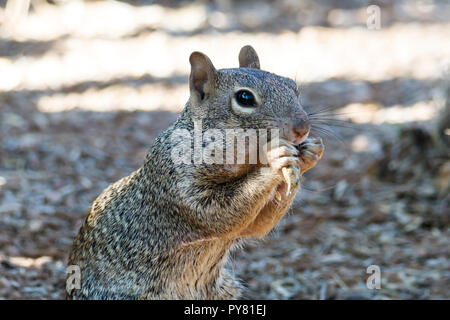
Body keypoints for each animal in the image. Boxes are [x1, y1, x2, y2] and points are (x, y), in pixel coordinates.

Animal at [67, 45, 324, 300]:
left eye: (293, 87)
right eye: (245, 98)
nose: (303, 128)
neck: (243, 162)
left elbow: (257, 226)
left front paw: (309, 153)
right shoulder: (177, 181)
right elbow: (218, 214)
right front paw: (275, 160)